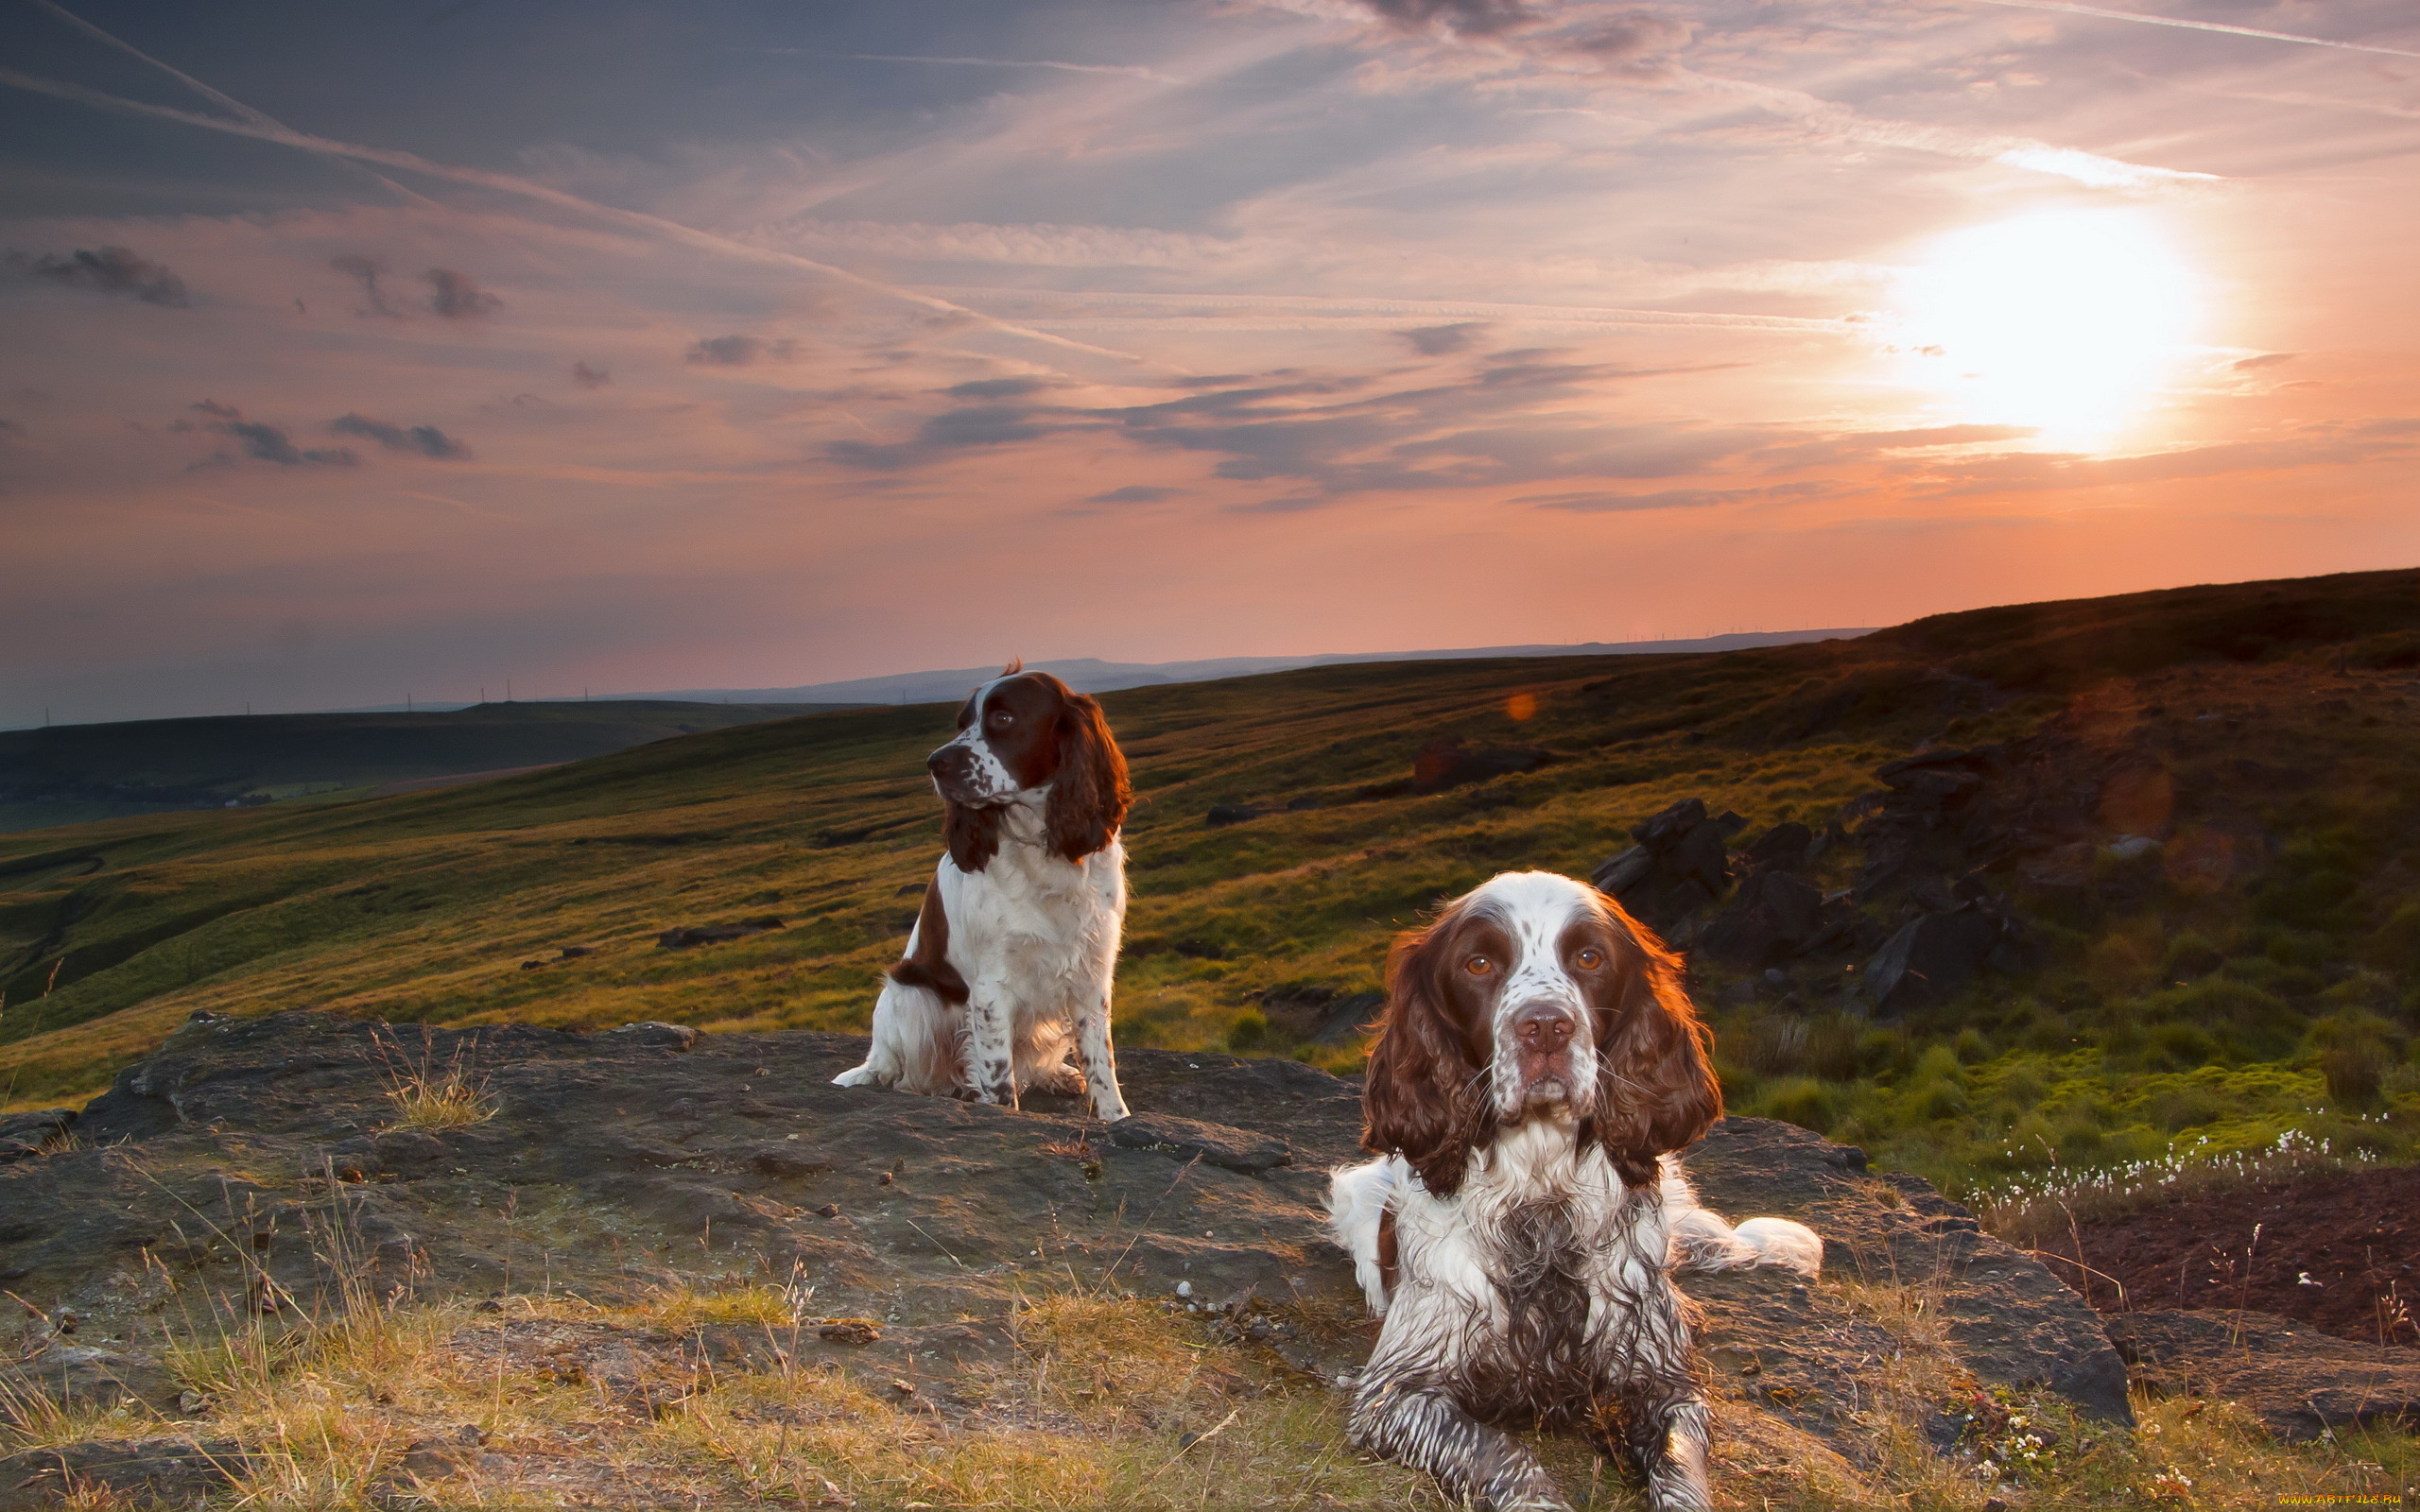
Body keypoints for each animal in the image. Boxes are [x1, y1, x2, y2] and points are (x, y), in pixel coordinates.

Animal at [832, 658, 1132, 1122]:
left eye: (1003, 719)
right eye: (961, 723)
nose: (934, 763)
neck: (1040, 847)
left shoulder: (1092, 973)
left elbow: (1102, 1061)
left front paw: (1115, 1119)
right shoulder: (992, 986)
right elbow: (998, 1075)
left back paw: (1059, 1075)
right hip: (914, 999)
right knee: (908, 1075)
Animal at [1325, 870, 1820, 1509]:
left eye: (1589, 957)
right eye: (1479, 963)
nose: (1545, 1027)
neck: (1541, 1193)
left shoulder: (1666, 1385)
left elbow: (1680, 1475)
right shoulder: (1398, 1391)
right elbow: (1506, 1456)